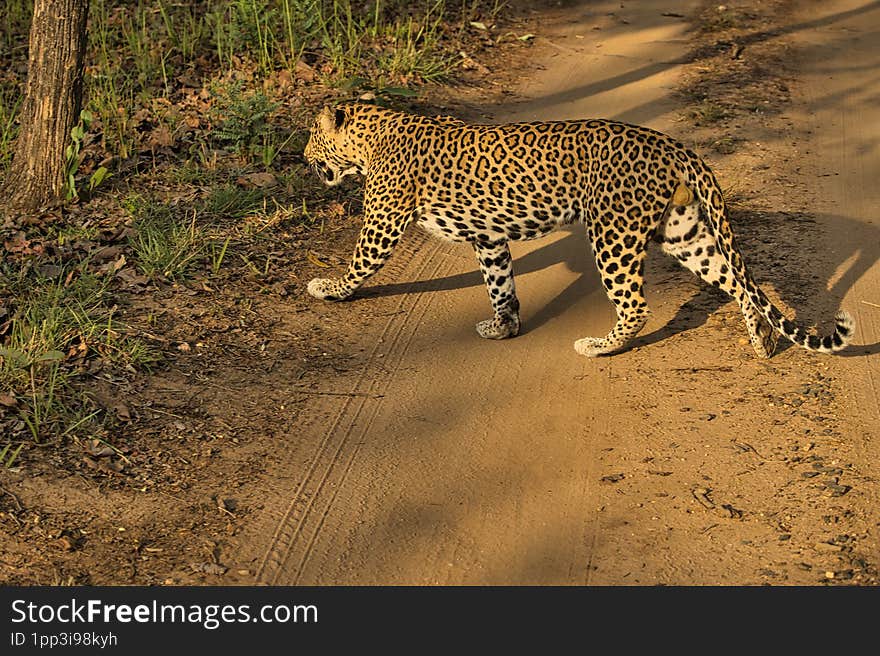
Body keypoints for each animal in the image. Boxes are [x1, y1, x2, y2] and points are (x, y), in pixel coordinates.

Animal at [302, 104, 852, 358]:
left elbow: (359, 264)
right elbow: (500, 284)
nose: (304, 157)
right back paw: (760, 340)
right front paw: (504, 327)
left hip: (612, 232)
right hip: (682, 231)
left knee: (637, 304)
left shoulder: (382, 221)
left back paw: (600, 346)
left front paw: (328, 287)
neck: (374, 136)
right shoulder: (489, 237)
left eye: (311, 136)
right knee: (738, 282)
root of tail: (676, 146)